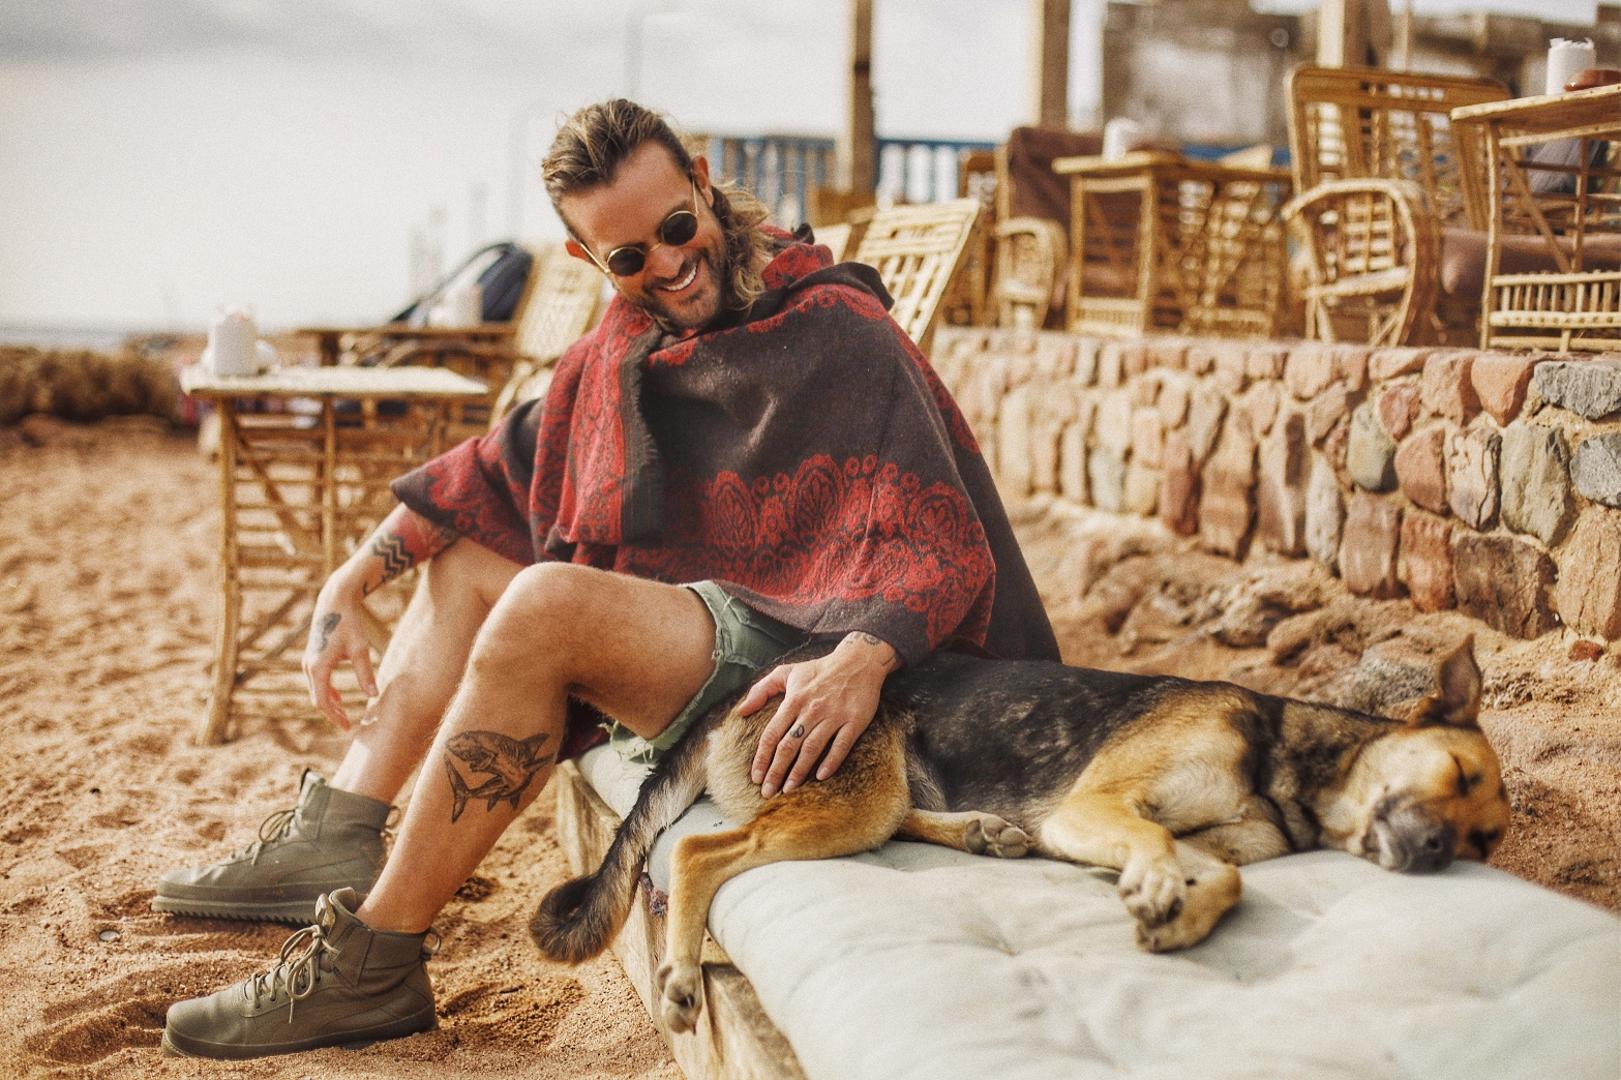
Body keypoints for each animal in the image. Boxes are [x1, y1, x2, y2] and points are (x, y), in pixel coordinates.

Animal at [530, 636, 1509, 1034]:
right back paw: (680, 977)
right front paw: (1158, 890)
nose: (1437, 855)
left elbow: (1225, 879)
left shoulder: (1202, 841)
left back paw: (984, 833)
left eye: (1488, 845)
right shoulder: (1093, 808)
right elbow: (1157, 848)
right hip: (854, 796)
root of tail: (753, 681)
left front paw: (1176, 916)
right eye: (1457, 778)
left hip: (880, 793)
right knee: (696, 851)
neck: (1284, 767)